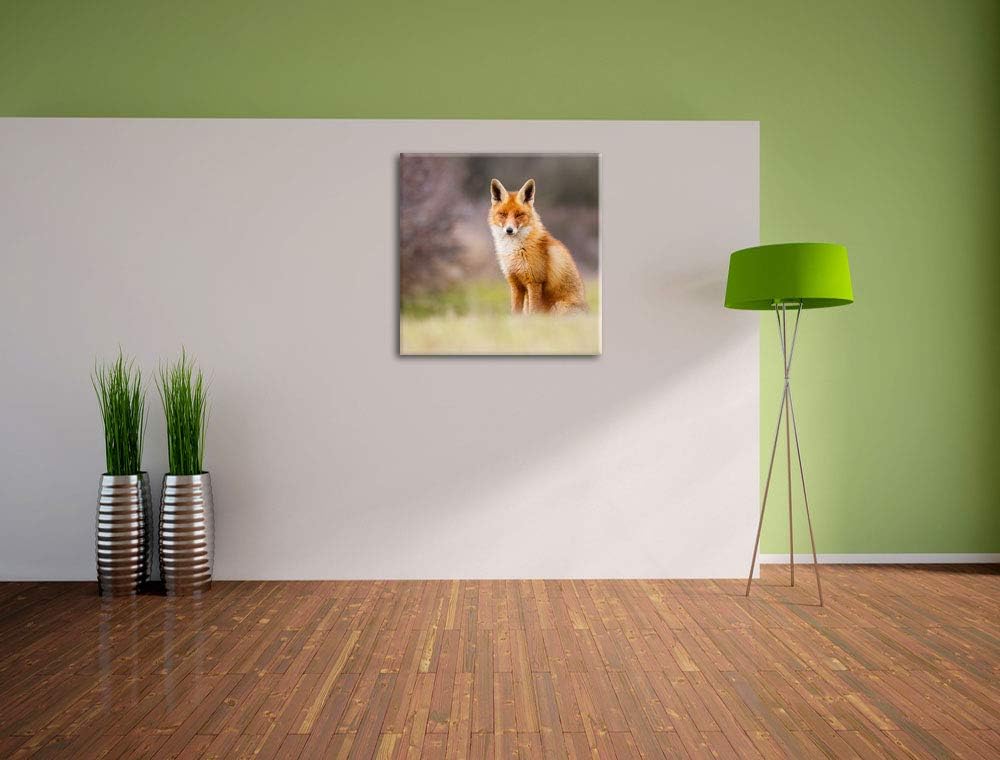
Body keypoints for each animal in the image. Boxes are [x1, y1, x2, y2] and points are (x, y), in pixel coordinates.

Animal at [488, 178, 588, 315]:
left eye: (519, 215)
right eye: (503, 214)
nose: (509, 230)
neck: (515, 250)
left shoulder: (534, 281)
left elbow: (534, 312)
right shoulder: (515, 283)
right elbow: (515, 312)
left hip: (557, 307)